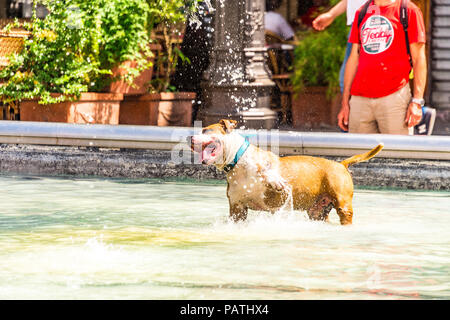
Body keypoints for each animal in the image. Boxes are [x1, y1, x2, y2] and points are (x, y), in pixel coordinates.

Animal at [187, 119, 384, 225]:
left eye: (206, 130)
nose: (189, 137)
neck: (237, 162)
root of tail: (341, 164)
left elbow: (268, 173)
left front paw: (274, 179)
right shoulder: (237, 209)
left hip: (343, 203)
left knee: (346, 214)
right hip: (317, 212)